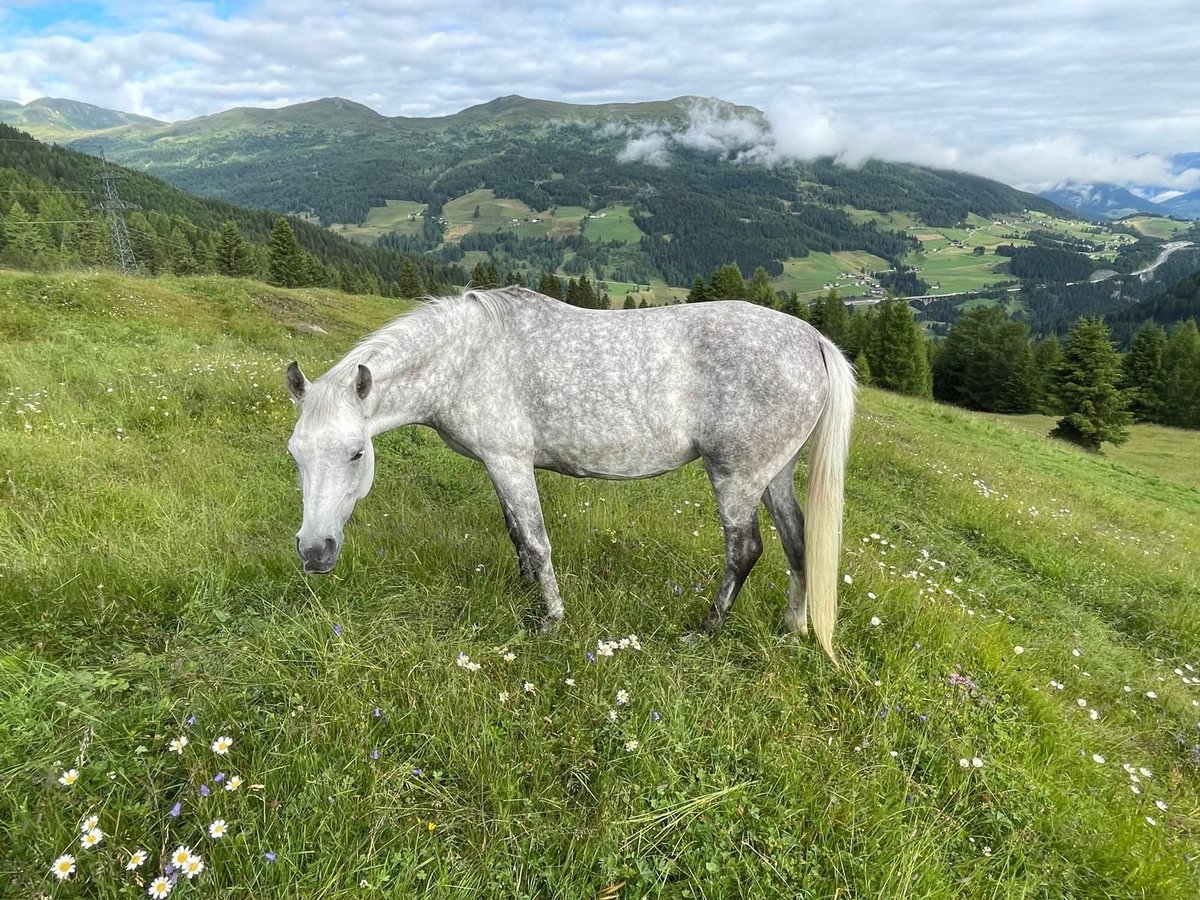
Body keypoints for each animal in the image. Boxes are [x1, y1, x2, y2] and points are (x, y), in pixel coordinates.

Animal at [286, 289, 859, 662]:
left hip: (737, 477)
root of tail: (813, 340)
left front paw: (551, 620)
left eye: (356, 453)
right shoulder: (500, 467)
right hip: (774, 475)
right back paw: (793, 628)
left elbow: (538, 542)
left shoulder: (509, 462)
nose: (315, 552)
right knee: (798, 542)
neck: (468, 358)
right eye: (295, 454)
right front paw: (525, 596)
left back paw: (705, 631)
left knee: (745, 550)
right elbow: (517, 536)